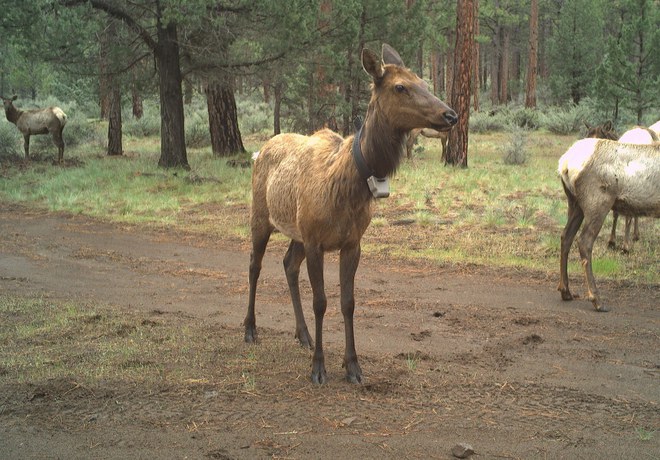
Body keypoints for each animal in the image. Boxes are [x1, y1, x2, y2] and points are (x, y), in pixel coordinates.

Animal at [244, 44, 457, 384]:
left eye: (424, 82)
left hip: (297, 232)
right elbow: (321, 302)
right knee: (254, 265)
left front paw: (353, 365)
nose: (450, 114)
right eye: (400, 87)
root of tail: (259, 150)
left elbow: (348, 303)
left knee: (288, 264)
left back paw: (303, 334)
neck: (348, 185)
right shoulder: (316, 242)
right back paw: (250, 329)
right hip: (262, 216)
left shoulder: (351, 242)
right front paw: (319, 368)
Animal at [557, 137, 660, 312]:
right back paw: (597, 300)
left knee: (566, 236)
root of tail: (564, 163)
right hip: (598, 203)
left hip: (574, 203)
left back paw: (566, 292)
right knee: (584, 241)